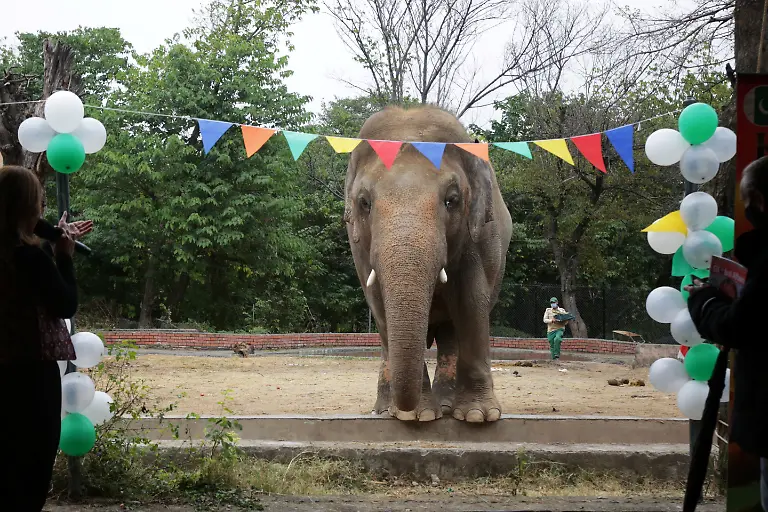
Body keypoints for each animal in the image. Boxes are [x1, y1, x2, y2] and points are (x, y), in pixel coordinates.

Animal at [343, 106, 513, 423]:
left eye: (452, 200)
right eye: (364, 203)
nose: (405, 408)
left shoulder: (481, 233)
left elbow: (471, 299)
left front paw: (477, 416)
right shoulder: (358, 245)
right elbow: (378, 303)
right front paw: (414, 417)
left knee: (450, 334)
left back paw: (446, 406)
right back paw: (384, 410)